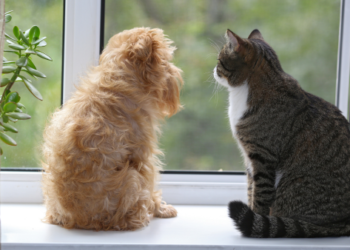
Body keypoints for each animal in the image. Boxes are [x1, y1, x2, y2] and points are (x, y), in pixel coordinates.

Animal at [41, 27, 183, 230]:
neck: (120, 77)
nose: (175, 71)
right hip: (132, 177)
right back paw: (140, 216)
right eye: (166, 60)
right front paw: (160, 209)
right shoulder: (143, 158)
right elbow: (151, 187)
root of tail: (80, 221)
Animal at [212, 28, 350, 237]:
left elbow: (260, 196)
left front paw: (255, 219)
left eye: (220, 60)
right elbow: (251, 190)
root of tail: (343, 223)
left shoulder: (262, 157)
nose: (213, 69)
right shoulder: (249, 160)